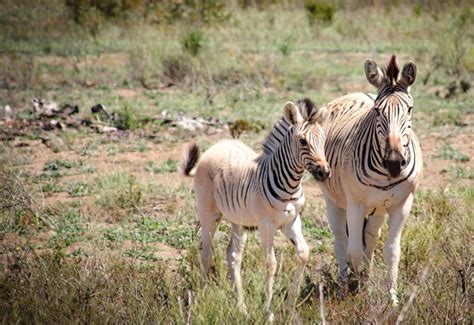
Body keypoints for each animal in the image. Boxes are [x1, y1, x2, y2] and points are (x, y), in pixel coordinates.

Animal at [181, 98, 330, 316]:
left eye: (324, 140)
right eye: (303, 141)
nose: (324, 172)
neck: (291, 185)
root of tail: (219, 144)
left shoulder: (292, 221)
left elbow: (303, 253)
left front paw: (289, 306)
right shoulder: (266, 225)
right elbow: (271, 263)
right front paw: (268, 310)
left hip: (238, 220)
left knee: (233, 255)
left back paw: (241, 306)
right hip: (209, 214)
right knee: (206, 254)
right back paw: (202, 299)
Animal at [320, 55, 424, 304]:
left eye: (410, 109)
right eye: (377, 111)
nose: (394, 163)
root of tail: (357, 92)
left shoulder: (403, 204)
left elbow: (391, 251)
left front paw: (392, 298)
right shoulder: (355, 205)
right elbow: (355, 251)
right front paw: (356, 292)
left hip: (378, 208)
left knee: (371, 237)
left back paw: (366, 280)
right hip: (333, 200)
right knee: (341, 241)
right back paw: (344, 286)